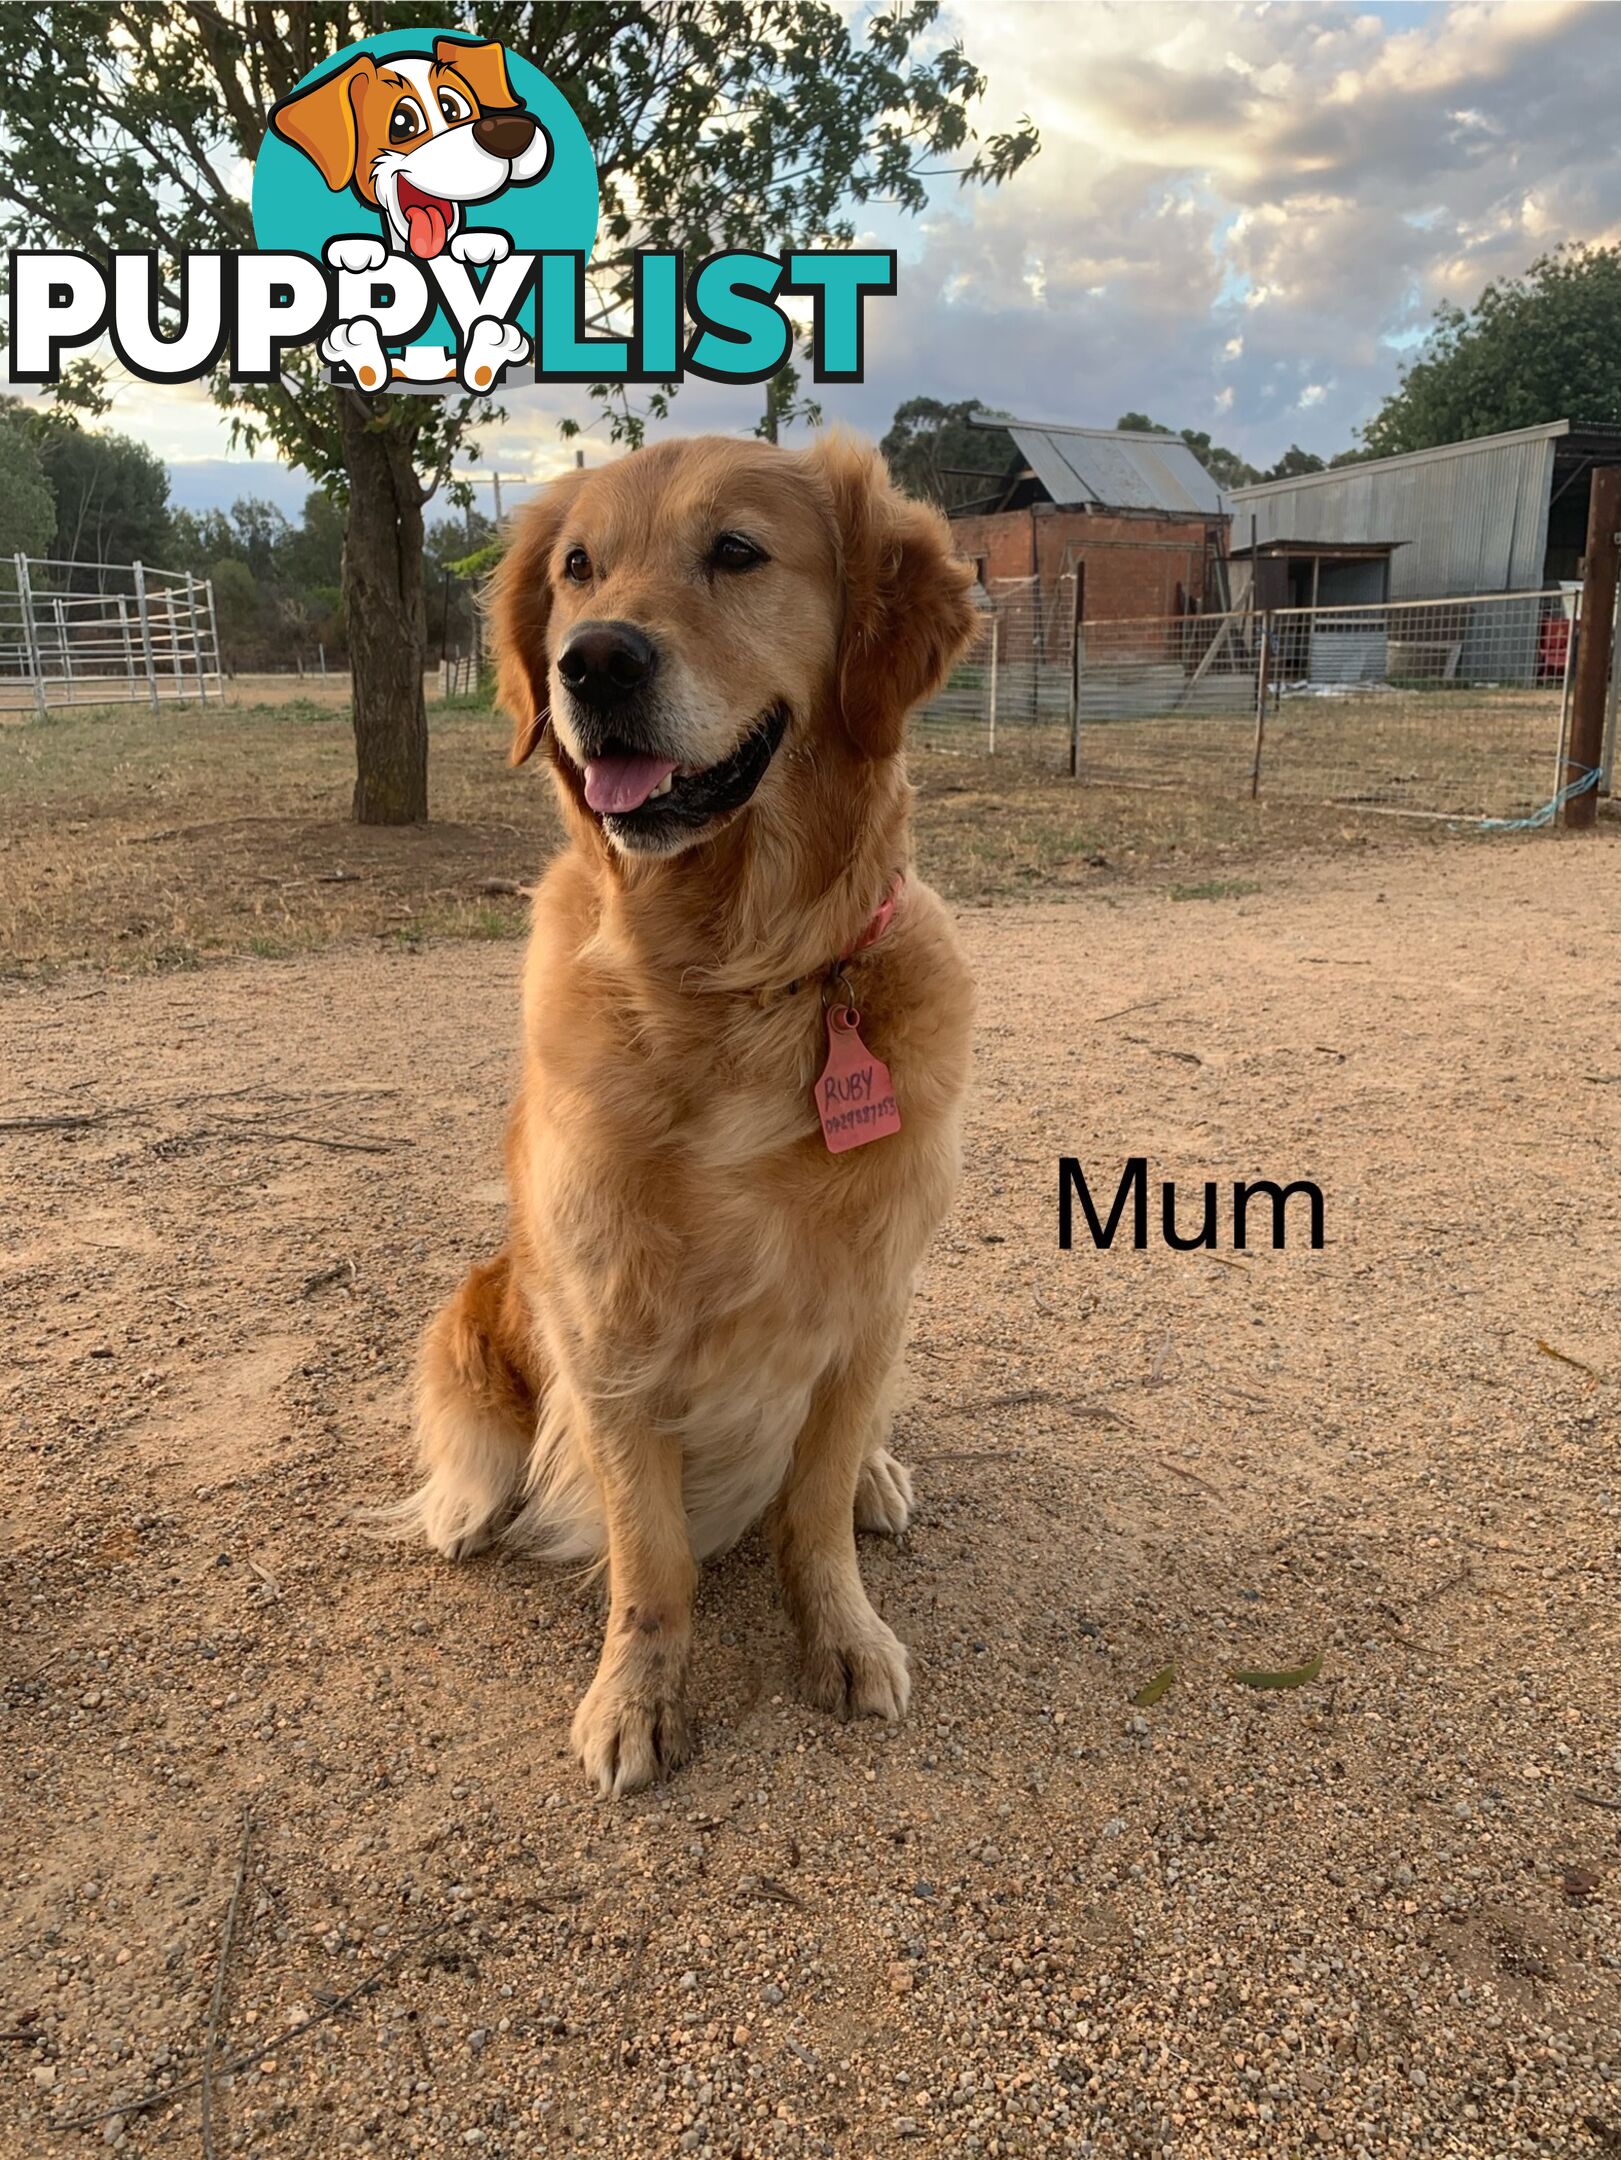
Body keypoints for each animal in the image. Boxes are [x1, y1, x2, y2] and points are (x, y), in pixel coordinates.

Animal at [397, 429, 976, 1797]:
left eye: (737, 551)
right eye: (577, 568)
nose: (592, 660)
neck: (735, 980)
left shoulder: (868, 1301)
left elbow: (811, 1511)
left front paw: (841, 1630)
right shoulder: (608, 1330)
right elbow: (649, 1555)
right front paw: (638, 1697)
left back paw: (877, 1476)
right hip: (476, 1304)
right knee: (467, 1416)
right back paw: (463, 1501)